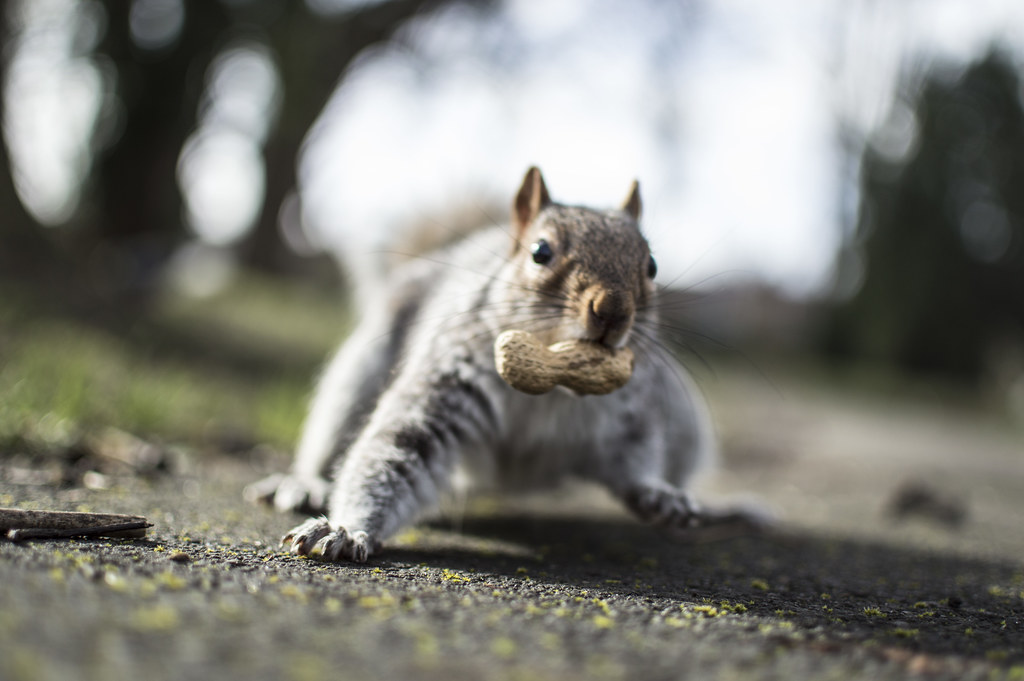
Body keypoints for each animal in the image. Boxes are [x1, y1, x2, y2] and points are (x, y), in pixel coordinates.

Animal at [247, 167, 729, 562]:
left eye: (652, 266)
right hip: (362, 368)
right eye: (540, 252)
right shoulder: (446, 384)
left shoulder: (629, 414)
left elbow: (634, 459)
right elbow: (396, 448)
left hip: (681, 417)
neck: (556, 378)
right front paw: (347, 529)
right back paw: (306, 483)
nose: (612, 312)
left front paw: (656, 494)